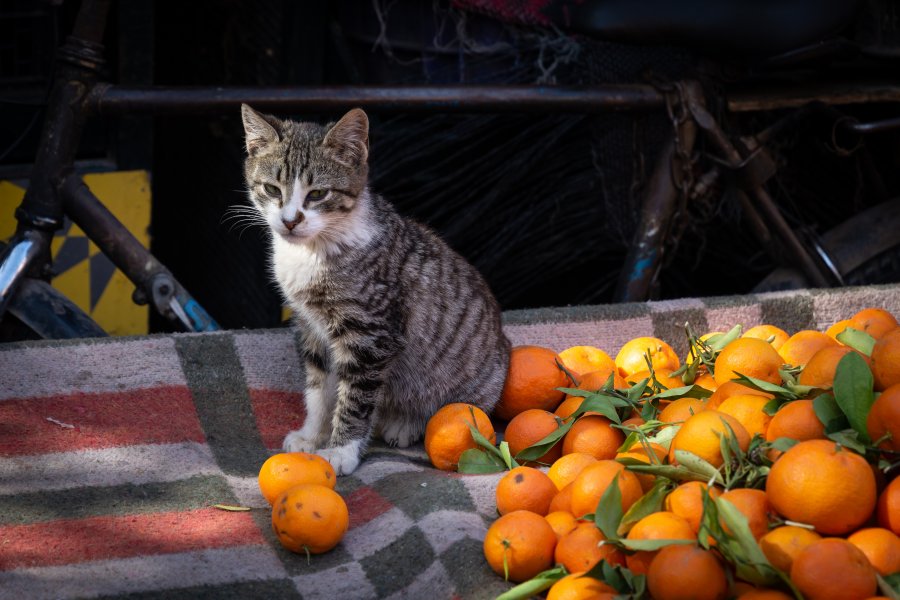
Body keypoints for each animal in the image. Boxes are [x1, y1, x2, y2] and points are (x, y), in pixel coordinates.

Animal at [239, 105, 510, 476]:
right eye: (271, 188)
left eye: (318, 194)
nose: (290, 220)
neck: (315, 250)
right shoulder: (311, 327)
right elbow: (319, 388)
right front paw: (312, 435)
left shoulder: (371, 335)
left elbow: (355, 397)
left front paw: (342, 451)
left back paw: (405, 423)